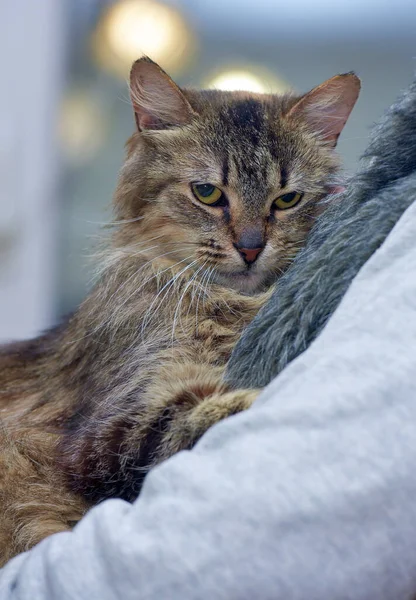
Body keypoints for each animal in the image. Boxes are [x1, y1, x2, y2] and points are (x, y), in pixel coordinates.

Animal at [0, 55, 360, 564]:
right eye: (207, 193)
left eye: (287, 200)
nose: (251, 248)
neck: (237, 305)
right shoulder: (107, 431)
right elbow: (218, 408)